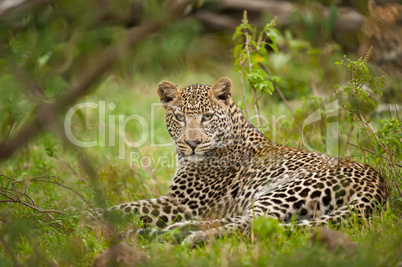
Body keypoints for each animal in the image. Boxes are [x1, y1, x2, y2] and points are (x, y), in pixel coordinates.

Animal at [96, 76, 388, 246]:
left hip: (285, 190)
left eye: (207, 117)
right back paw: (164, 234)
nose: (192, 143)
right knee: (246, 220)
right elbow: (127, 207)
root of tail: (379, 187)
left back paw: (189, 238)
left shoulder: (183, 204)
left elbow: (127, 208)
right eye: (179, 117)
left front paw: (87, 217)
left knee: (253, 225)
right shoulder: (184, 204)